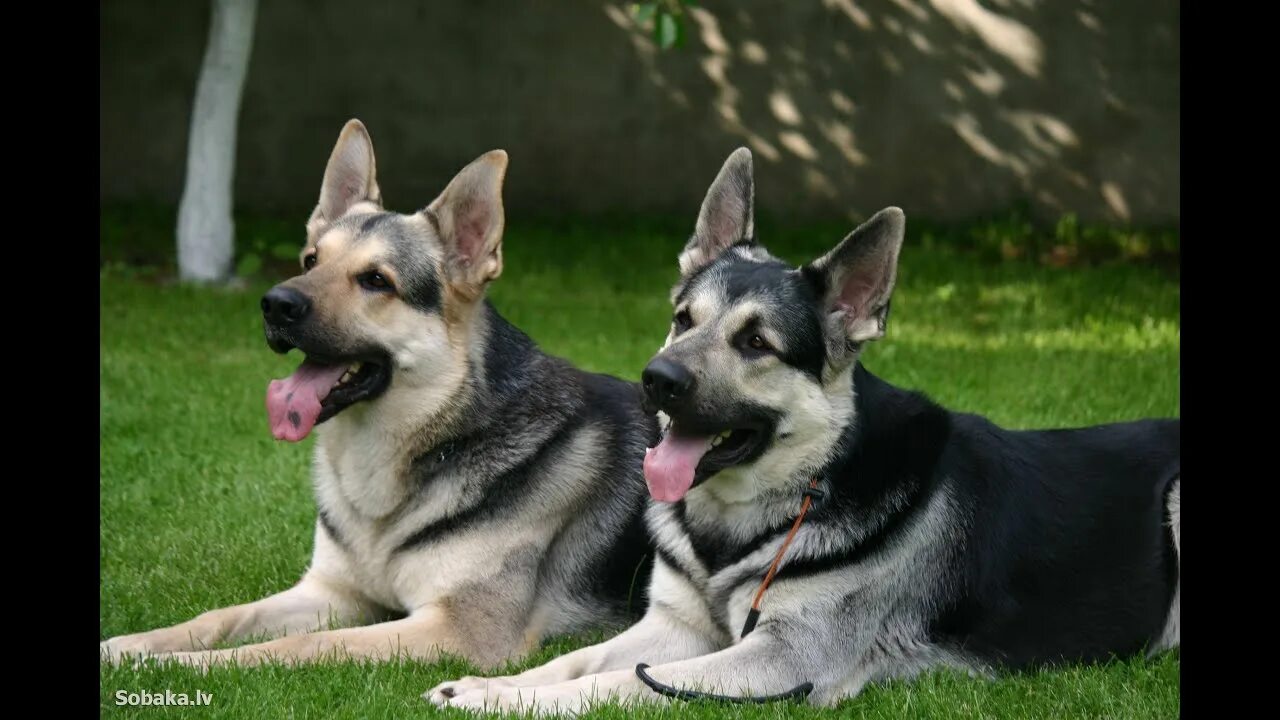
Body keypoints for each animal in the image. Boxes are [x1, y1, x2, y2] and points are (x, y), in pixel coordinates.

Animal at [99, 119, 655, 666]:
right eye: (310, 260)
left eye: (375, 280)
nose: (274, 303)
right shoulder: (330, 592)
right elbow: (221, 616)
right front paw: (139, 645)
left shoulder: (464, 631)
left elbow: (301, 646)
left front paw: (189, 665)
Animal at [430, 147, 1177, 712]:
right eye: (683, 319)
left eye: (757, 342)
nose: (655, 379)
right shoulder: (673, 626)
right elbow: (578, 662)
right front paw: (492, 686)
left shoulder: (782, 660)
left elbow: (615, 685)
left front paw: (507, 701)